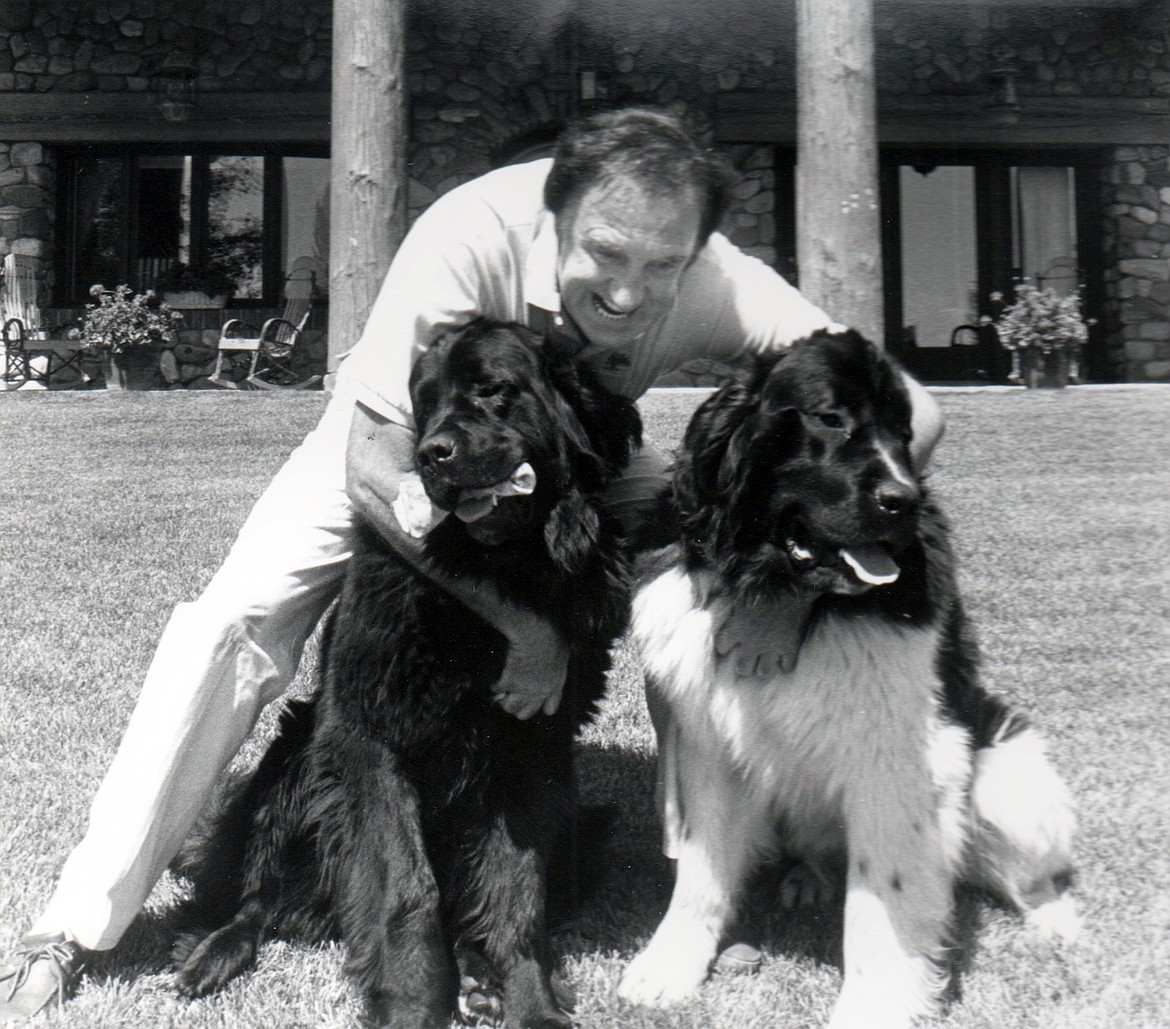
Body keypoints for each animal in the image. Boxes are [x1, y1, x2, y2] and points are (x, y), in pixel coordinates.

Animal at [175, 318, 641, 1025]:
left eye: (494, 389)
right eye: (425, 404)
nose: (432, 454)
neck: (497, 580)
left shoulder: (534, 750)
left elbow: (517, 890)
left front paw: (529, 999)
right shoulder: (369, 739)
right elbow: (405, 887)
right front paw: (412, 1004)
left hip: (586, 825)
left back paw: (479, 975)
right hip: (293, 759)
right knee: (257, 899)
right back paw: (213, 951)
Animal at [622, 332, 1076, 1029]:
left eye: (902, 432)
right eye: (830, 418)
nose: (904, 500)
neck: (782, 588)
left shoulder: (902, 762)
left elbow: (878, 903)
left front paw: (875, 1006)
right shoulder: (709, 749)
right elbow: (700, 870)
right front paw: (669, 968)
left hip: (1010, 782)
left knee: (1029, 877)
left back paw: (1055, 924)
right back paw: (806, 878)